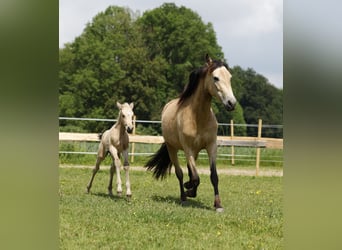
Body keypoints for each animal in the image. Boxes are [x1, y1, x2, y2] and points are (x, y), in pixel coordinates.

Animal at [144, 54, 235, 211]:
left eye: (229, 77)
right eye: (216, 78)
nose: (231, 103)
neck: (198, 118)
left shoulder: (211, 147)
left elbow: (213, 176)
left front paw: (218, 204)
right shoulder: (188, 149)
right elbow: (195, 177)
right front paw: (188, 189)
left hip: (195, 152)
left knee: (190, 171)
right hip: (172, 149)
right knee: (180, 173)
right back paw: (184, 196)